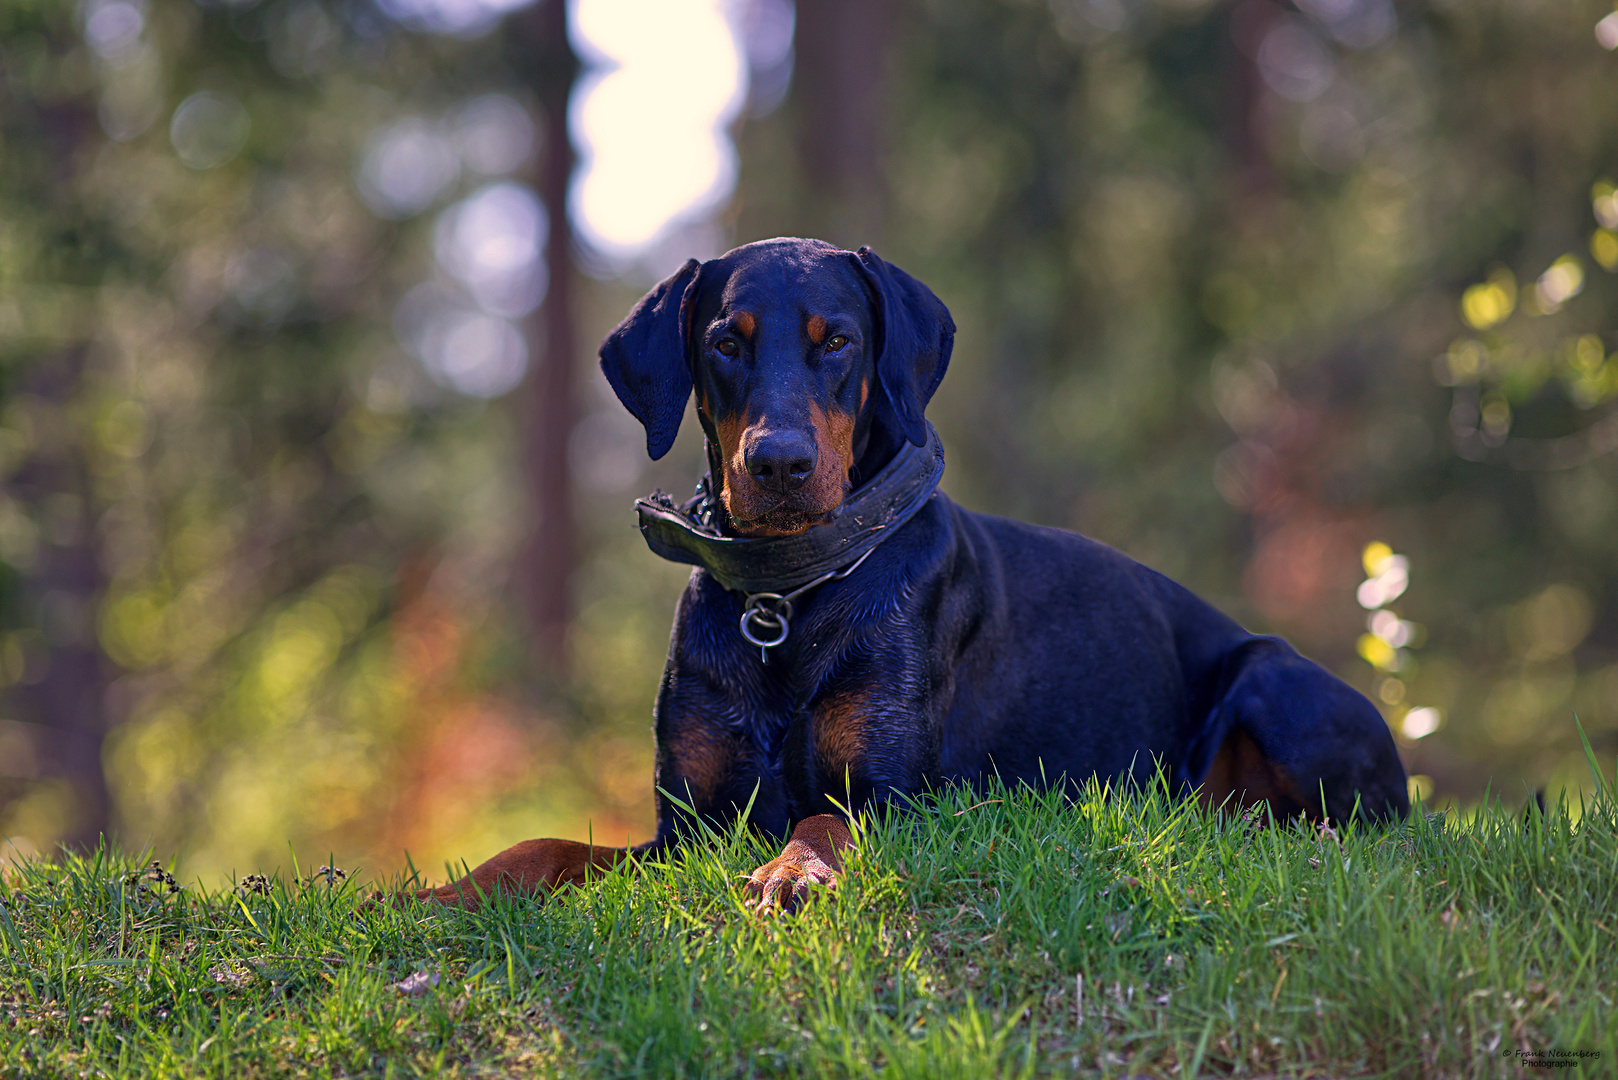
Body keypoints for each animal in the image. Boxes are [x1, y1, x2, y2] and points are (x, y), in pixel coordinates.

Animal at [401, 236, 1404, 913]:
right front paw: (428, 897)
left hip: (1276, 679)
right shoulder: (688, 827)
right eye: (725, 341)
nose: (778, 464)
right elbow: (543, 845)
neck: (788, 595)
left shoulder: (897, 795)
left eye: (836, 340)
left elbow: (825, 819)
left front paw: (793, 872)